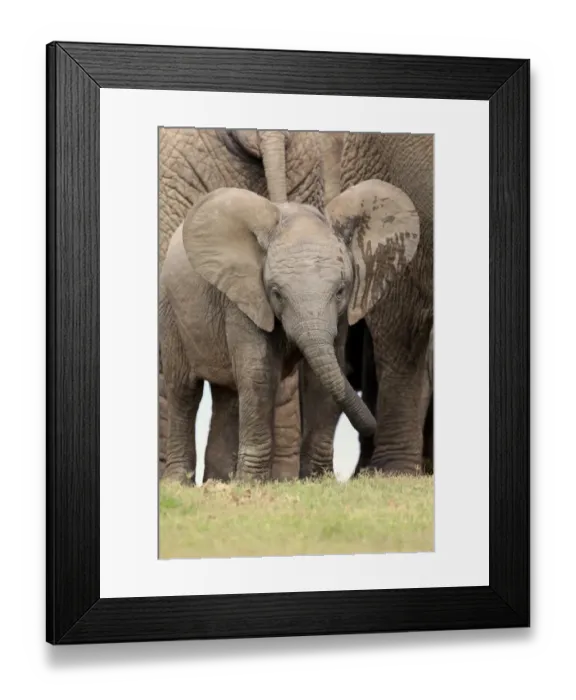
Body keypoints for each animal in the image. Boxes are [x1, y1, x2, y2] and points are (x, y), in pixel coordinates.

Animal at [159, 179, 421, 485]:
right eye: (276, 293)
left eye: (341, 290)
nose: (372, 426)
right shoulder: (244, 295)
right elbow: (258, 375)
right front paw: (252, 483)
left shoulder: (339, 315)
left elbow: (322, 377)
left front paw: (316, 481)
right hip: (170, 309)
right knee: (184, 390)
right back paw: (179, 482)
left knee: (229, 396)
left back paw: (219, 482)